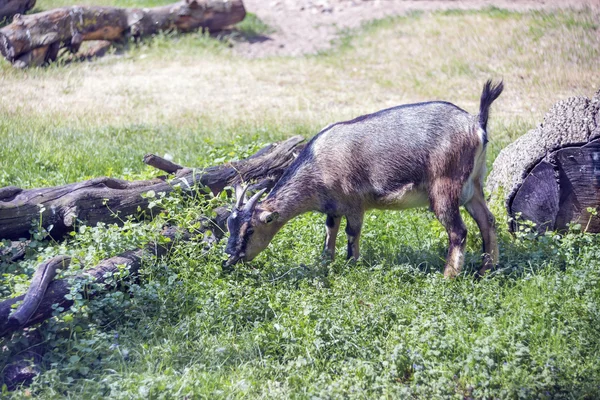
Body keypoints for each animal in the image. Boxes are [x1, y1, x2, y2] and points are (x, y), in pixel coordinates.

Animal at [224, 79, 502, 276]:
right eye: (230, 225)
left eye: (250, 230)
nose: (229, 258)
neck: (319, 164)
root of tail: (476, 123)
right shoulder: (333, 208)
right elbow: (330, 231)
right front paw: (326, 262)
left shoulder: (355, 203)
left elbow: (351, 232)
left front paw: (351, 264)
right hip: (473, 185)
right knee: (488, 220)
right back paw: (485, 270)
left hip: (445, 186)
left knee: (459, 231)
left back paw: (448, 276)